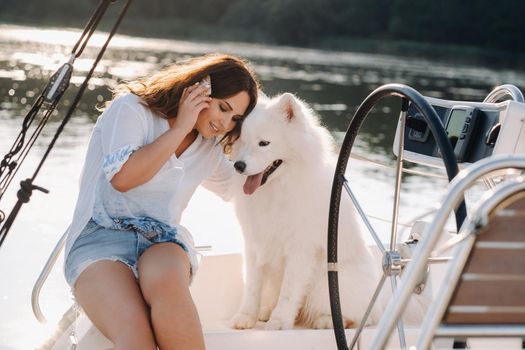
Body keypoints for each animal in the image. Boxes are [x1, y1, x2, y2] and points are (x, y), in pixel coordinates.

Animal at [229, 91, 430, 330]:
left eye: (264, 143)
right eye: (243, 141)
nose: (238, 166)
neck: (278, 188)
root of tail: (383, 298)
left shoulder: (301, 249)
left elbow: (289, 292)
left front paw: (279, 322)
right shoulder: (254, 243)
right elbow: (252, 286)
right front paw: (246, 316)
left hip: (327, 285)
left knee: (365, 317)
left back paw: (327, 321)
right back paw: (266, 312)